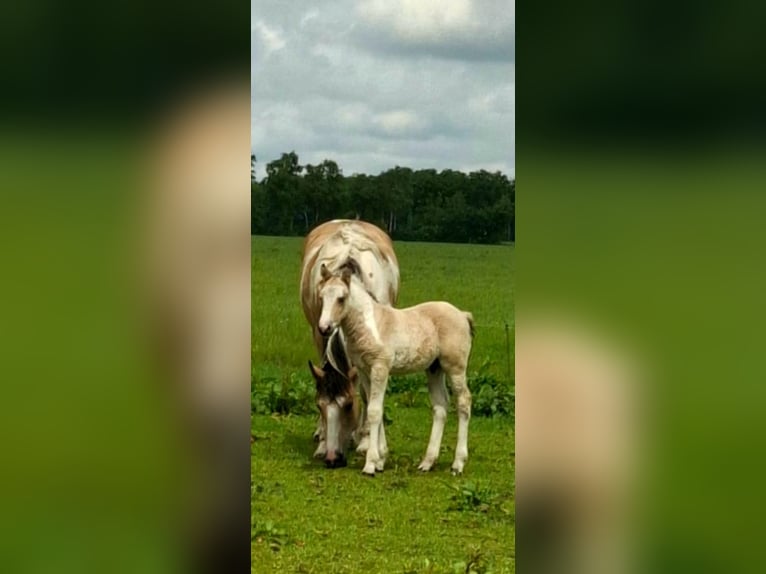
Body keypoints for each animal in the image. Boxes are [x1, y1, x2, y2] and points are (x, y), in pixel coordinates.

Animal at [300, 219, 399, 466]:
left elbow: (366, 392)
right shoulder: (320, 334)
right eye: (318, 405)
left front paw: (365, 441)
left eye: (348, 405)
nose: (333, 458)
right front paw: (322, 441)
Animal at [316, 260, 474, 476]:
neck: (369, 326)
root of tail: (462, 315)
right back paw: (427, 462)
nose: (324, 328)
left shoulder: (380, 368)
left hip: (455, 367)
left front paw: (370, 464)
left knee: (464, 401)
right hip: (434, 368)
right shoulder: (365, 371)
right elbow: (375, 406)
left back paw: (458, 463)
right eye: (322, 296)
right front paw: (381, 459)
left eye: (341, 298)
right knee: (441, 406)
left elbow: (374, 411)